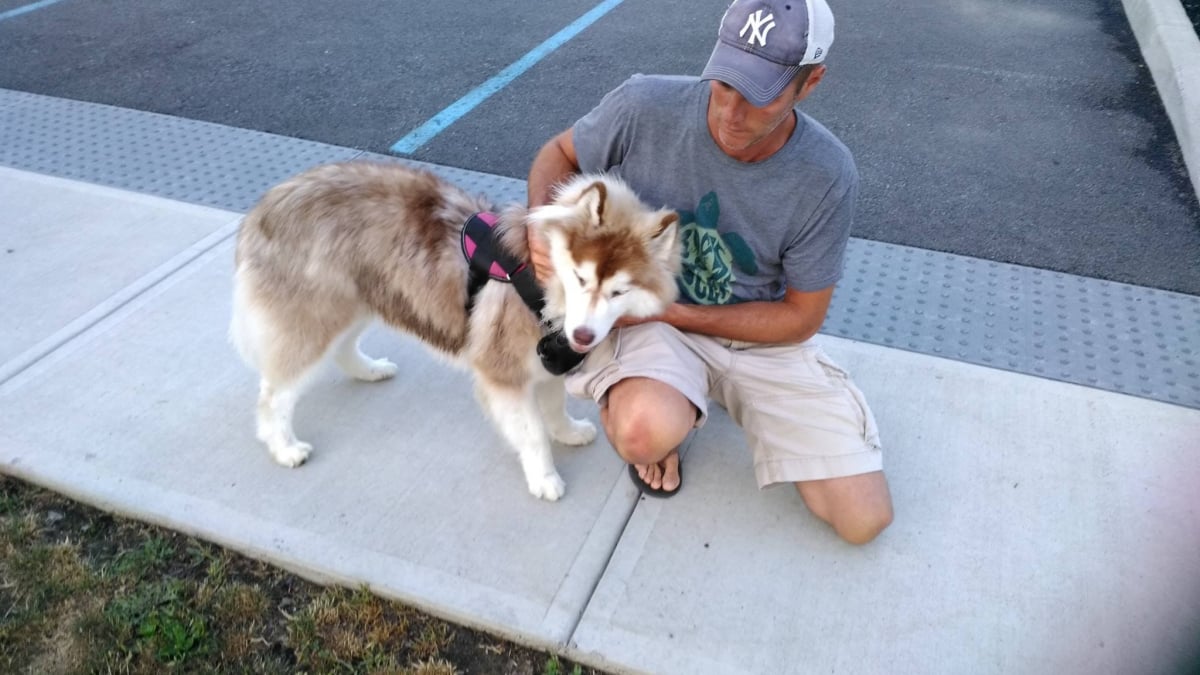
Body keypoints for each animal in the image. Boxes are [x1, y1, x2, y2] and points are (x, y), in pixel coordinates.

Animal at [229, 162, 681, 499]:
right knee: (274, 395)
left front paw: (567, 433)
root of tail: (266, 202)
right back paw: (284, 447)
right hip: (316, 319)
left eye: (619, 290)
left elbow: (554, 408)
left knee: (342, 349)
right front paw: (545, 478)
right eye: (581, 278)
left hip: (358, 301)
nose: (584, 337)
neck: (538, 283)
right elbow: (533, 432)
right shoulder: (504, 375)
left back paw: (369, 370)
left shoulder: (546, 364)